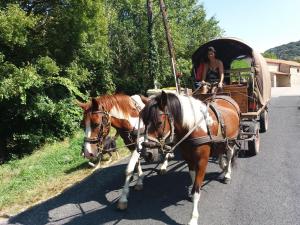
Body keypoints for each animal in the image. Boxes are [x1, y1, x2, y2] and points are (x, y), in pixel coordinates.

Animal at [139, 91, 240, 225]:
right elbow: (192, 177)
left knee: (229, 155)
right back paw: (222, 166)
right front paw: (191, 194)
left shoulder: (202, 161)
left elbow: (197, 189)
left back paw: (227, 174)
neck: (194, 127)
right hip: (222, 141)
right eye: (144, 122)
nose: (147, 153)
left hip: (231, 141)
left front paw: (193, 217)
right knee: (221, 152)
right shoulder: (189, 159)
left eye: (159, 122)